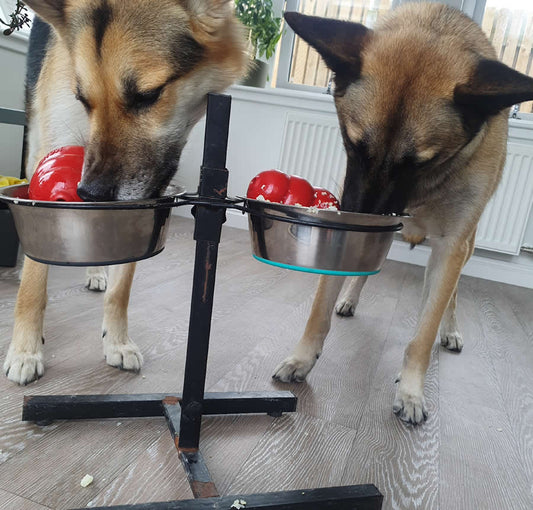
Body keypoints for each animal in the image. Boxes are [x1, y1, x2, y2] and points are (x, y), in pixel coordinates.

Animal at [3, 0, 247, 382]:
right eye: (82, 99)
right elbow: (34, 282)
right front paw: (25, 348)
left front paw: (116, 341)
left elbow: (121, 290)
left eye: (147, 96)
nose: (91, 195)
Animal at [274, 2, 532, 426]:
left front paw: (411, 389)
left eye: (418, 163)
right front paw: (303, 356)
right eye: (353, 144)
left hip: (466, 246)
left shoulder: (451, 248)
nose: (360, 219)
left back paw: (450, 327)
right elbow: (319, 311)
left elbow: (423, 335)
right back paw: (350, 297)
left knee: (450, 295)